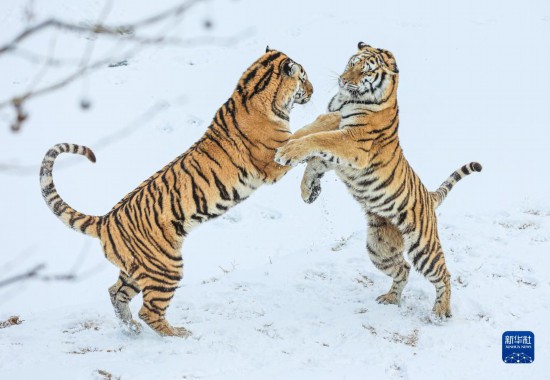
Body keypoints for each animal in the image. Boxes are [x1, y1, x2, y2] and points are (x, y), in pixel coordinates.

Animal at [40, 48, 314, 338]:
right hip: (166, 267)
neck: (251, 91)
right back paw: (178, 334)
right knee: (148, 311)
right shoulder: (273, 162)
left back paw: (131, 328)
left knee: (116, 293)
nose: (313, 90)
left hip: (135, 270)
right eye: (303, 77)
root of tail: (105, 220)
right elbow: (307, 138)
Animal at [276, 43, 484, 320]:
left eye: (365, 71)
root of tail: (429, 196)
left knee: (443, 273)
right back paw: (390, 298)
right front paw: (308, 189)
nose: (343, 80)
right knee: (403, 268)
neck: (347, 100)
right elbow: (312, 149)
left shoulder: (352, 142)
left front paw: (288, 153)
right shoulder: (333, 134)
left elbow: (316, 140)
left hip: (423, 247)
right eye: (351, 63)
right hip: (379, 248)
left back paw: (440, 311)